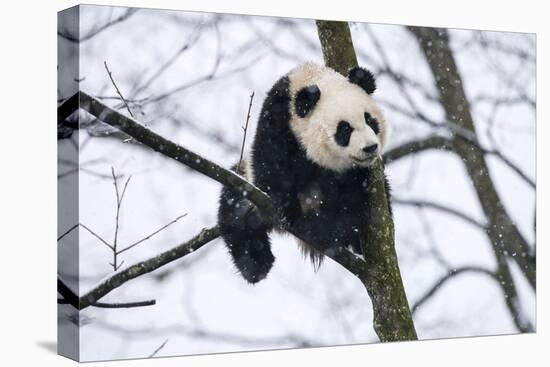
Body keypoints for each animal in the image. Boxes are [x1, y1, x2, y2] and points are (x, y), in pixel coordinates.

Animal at [218, 62, 390, 284]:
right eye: (344, 129)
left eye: (370, 120)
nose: (370, 148)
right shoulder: (278, 115)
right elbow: (271, 163)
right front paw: (286, 208)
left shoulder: (360, 174)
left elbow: (351, 200)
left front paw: (319, 227)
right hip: (246, 184)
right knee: (236, 213)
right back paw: (255, 264)